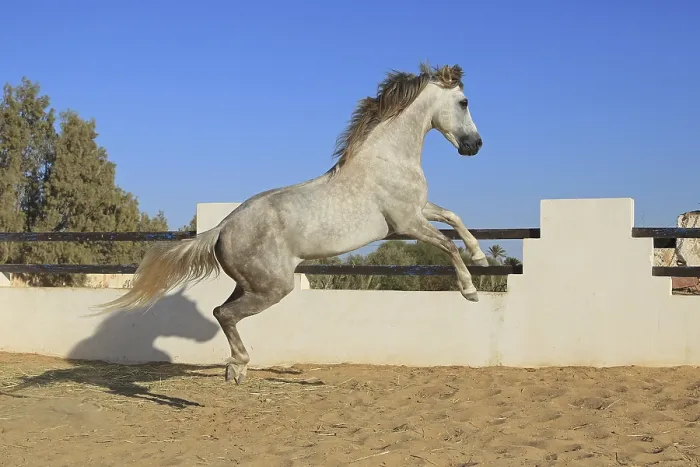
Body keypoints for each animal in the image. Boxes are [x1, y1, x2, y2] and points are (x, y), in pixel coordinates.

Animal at [98, 62, 488, 384]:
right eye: (464, 102)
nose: (475, 145)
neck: (386, 159)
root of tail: (222, 228)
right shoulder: (407, 222)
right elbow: (447, 245)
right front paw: (470, 289)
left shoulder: (419, 211)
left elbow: (454, 218)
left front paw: (481, 257)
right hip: (274, 287)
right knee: (223, 313)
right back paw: (238, 365)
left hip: (252, 284)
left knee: (222, 312)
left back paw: (235, 369)